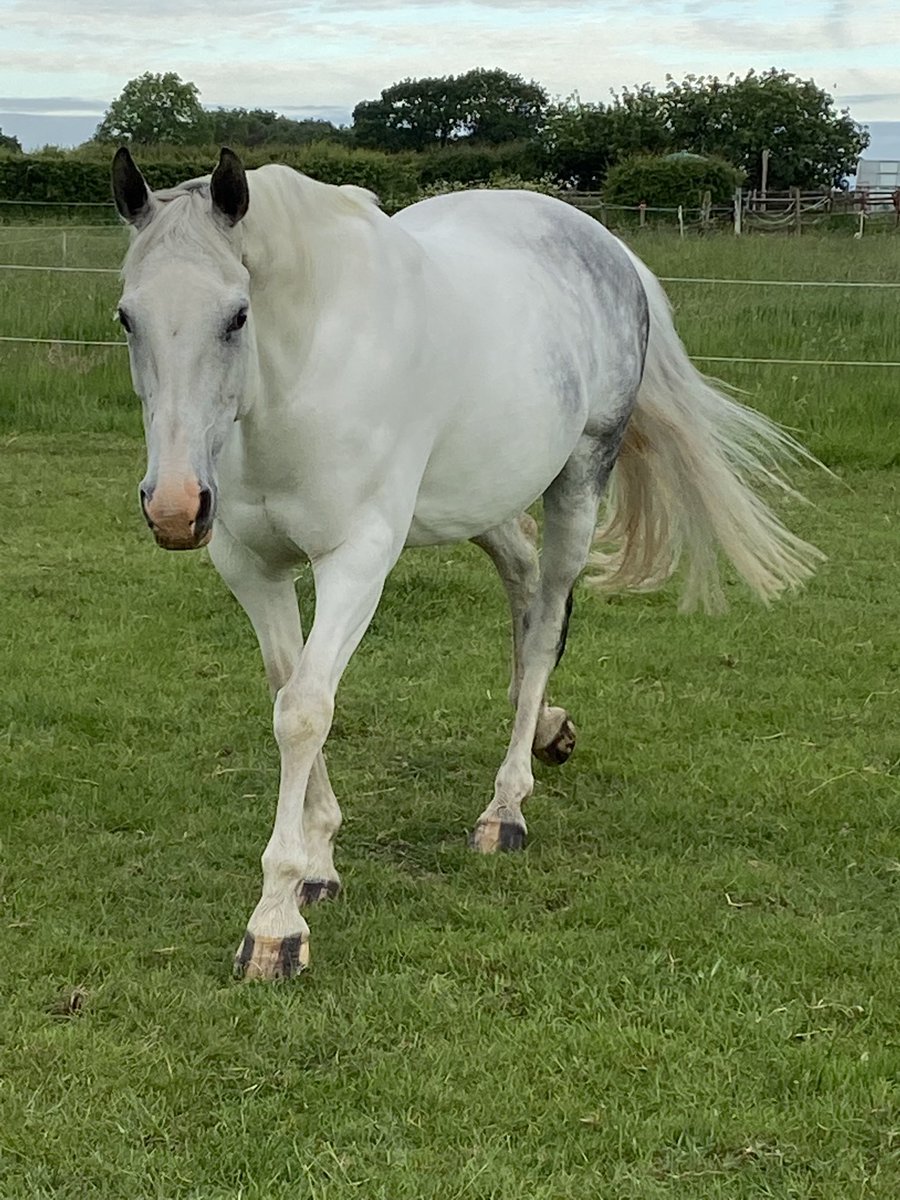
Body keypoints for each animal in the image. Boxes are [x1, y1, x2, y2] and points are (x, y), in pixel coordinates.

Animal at [112, 147, 822, 980]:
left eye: (237, 315)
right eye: (128, 316)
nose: (174, 506)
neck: (298, 378)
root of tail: (609, 248)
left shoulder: (358, 560)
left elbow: (305, 710)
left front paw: (275, 925)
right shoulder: (252, 566)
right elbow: (290, 694)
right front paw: (318, 867)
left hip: (580, 480)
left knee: (546, 620)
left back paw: (505, 808)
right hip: (479, 498)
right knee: (522, 581)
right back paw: (546, 727)